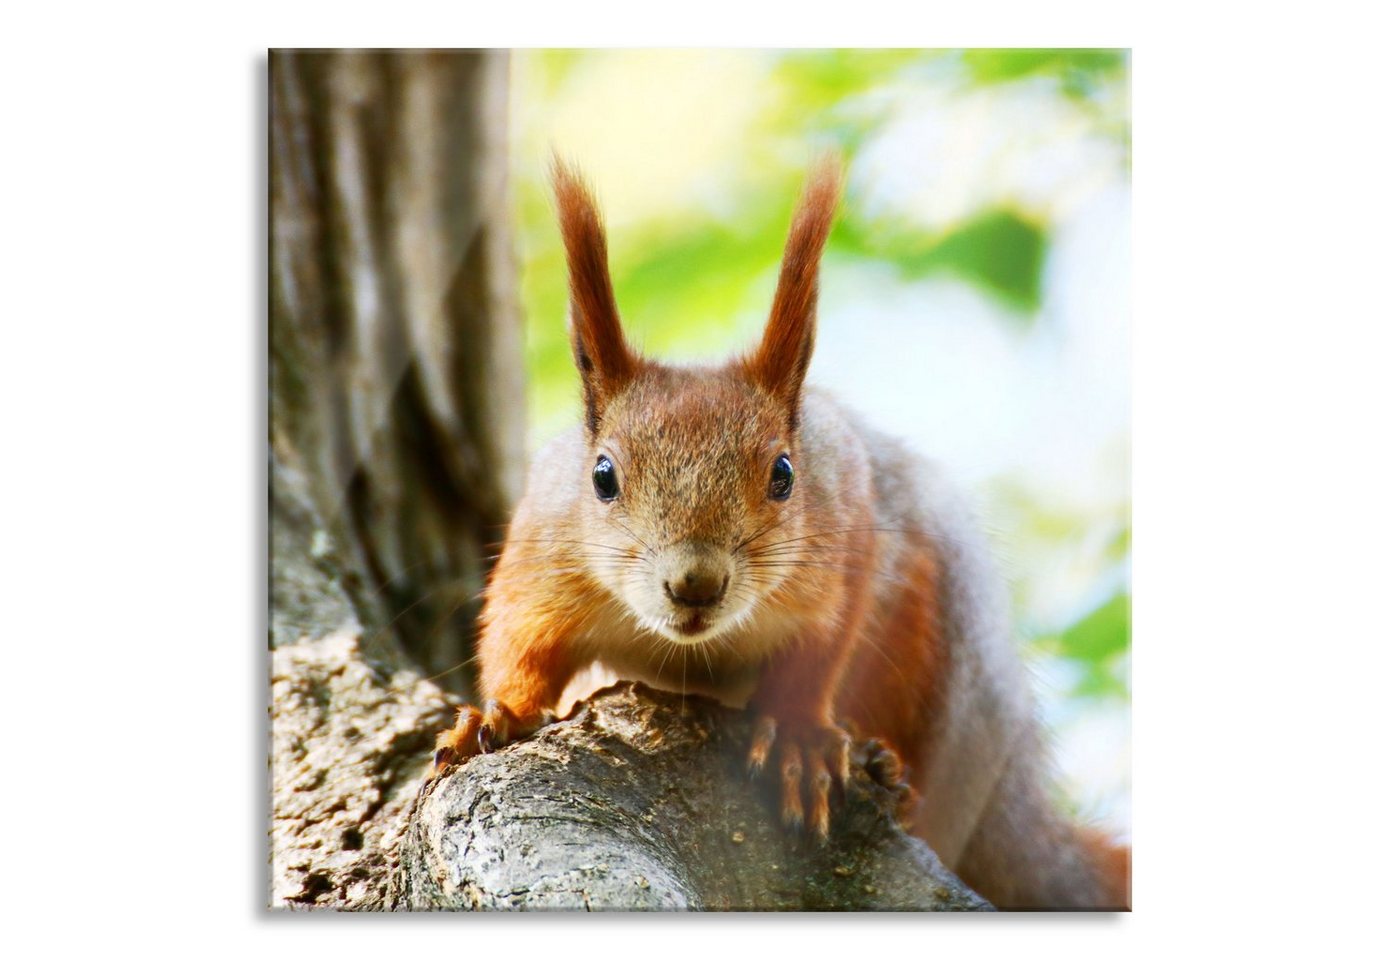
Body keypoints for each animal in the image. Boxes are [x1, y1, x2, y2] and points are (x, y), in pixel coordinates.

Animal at [431, 156, 1131, 912]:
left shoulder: (845, 538)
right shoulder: (544, 552)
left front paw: (799, 737)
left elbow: (821, 649)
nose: (695, 583)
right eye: (603, 476)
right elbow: (519, 642)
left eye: (785, 473)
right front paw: (498, 714)